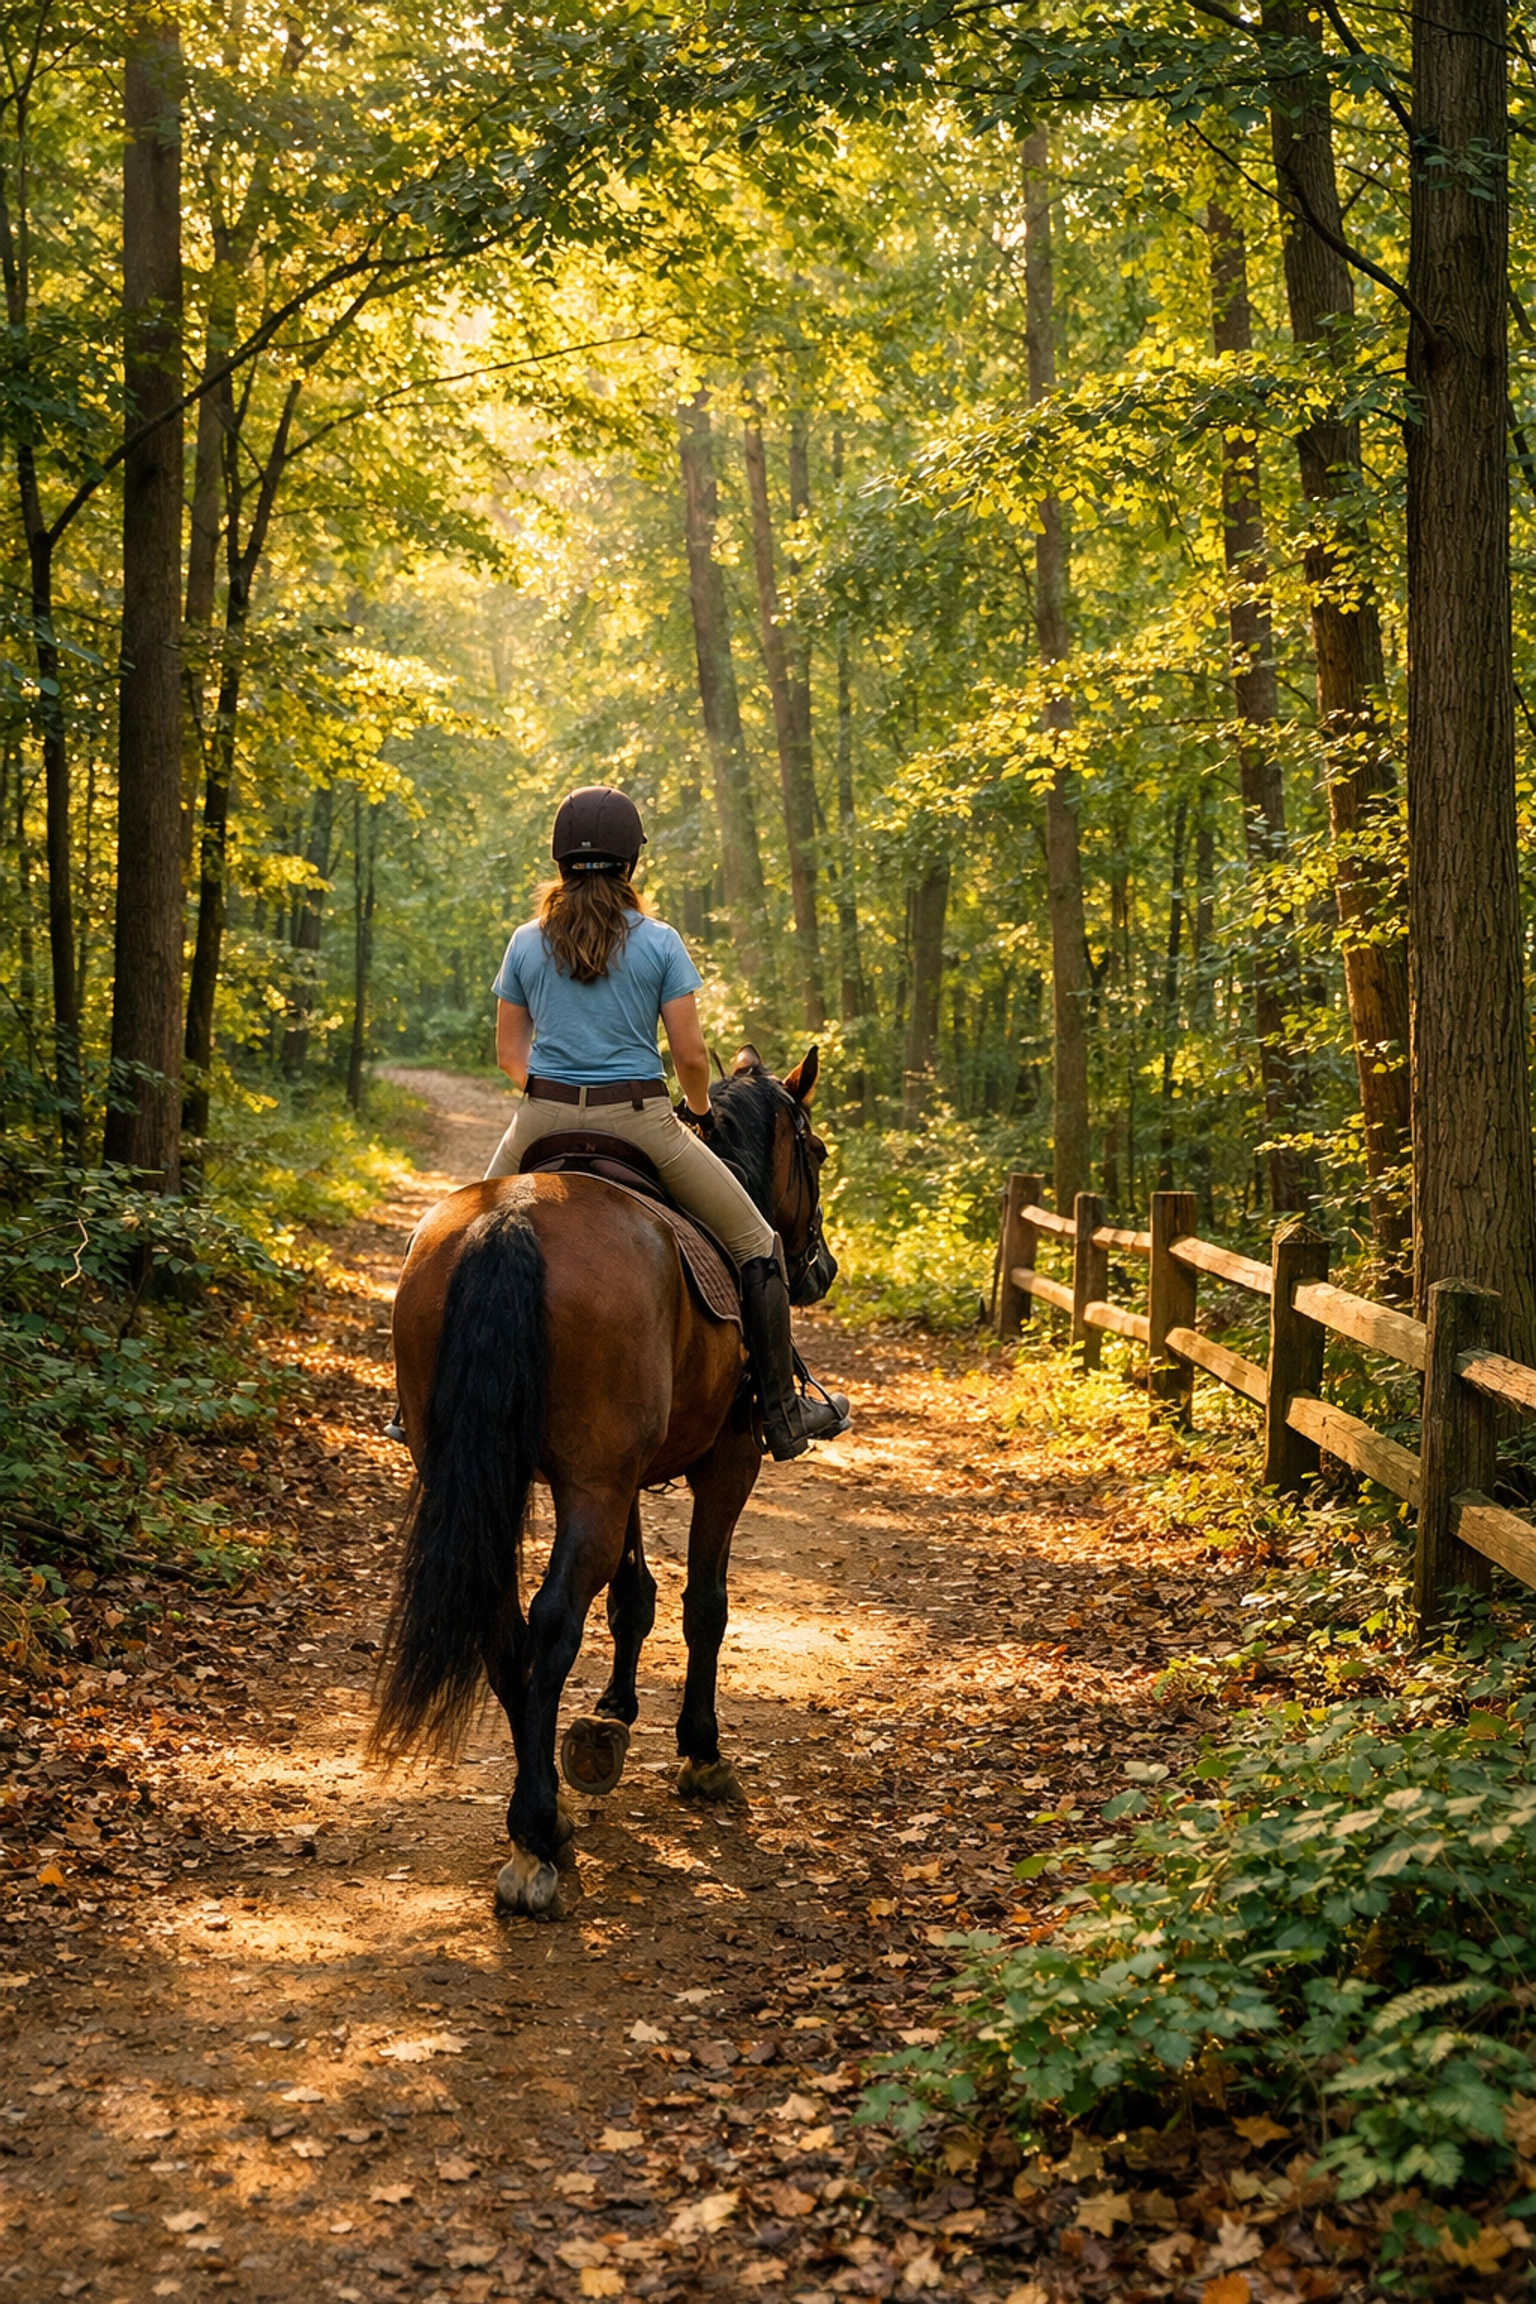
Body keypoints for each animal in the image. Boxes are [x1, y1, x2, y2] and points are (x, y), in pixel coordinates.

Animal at [371, 1044, 837, 1916]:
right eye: (817, 1154)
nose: (819, 1269)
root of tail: (514, 1220)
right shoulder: (729, 1461)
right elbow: (703, 1604)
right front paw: (700, 1751)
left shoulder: (624, 1478)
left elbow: (632, 1597)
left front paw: (609, 1720)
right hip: (597, 1486)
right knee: (552, 1620)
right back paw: (536, 1836)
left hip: (525, 1476)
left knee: (503, 1623)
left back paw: (545, 1815)